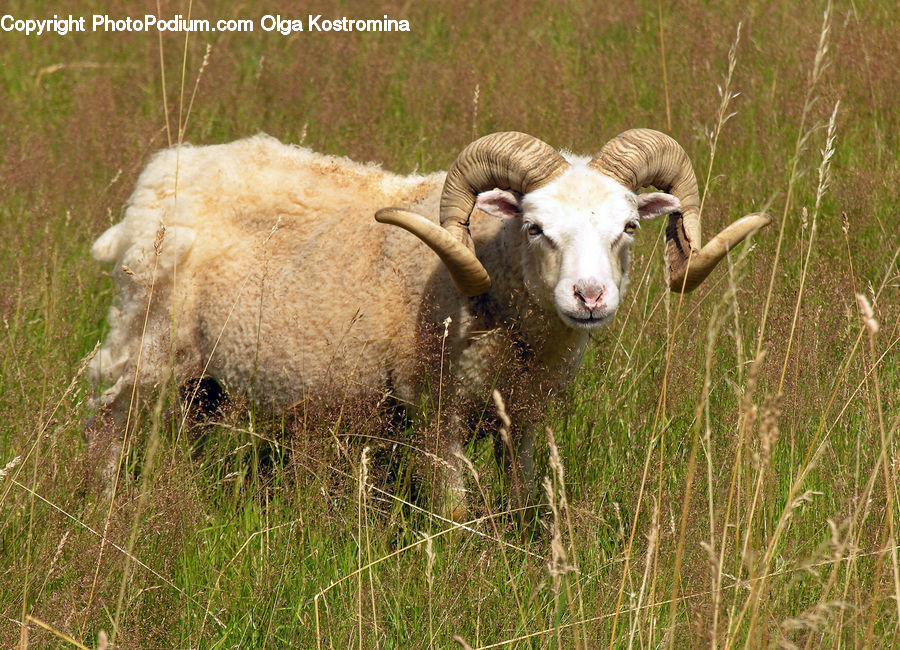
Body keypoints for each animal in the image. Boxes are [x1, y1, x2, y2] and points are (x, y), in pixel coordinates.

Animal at [88, 128, 768, 512]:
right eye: (534, 226)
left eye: (627, 227)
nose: (590, 296)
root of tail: (167, 166)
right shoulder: (439, 414)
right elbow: (456, 512)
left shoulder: (525, 417)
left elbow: (522, 500)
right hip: (144, 336)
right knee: (107, 417)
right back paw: (103, 502)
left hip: (205, 378)